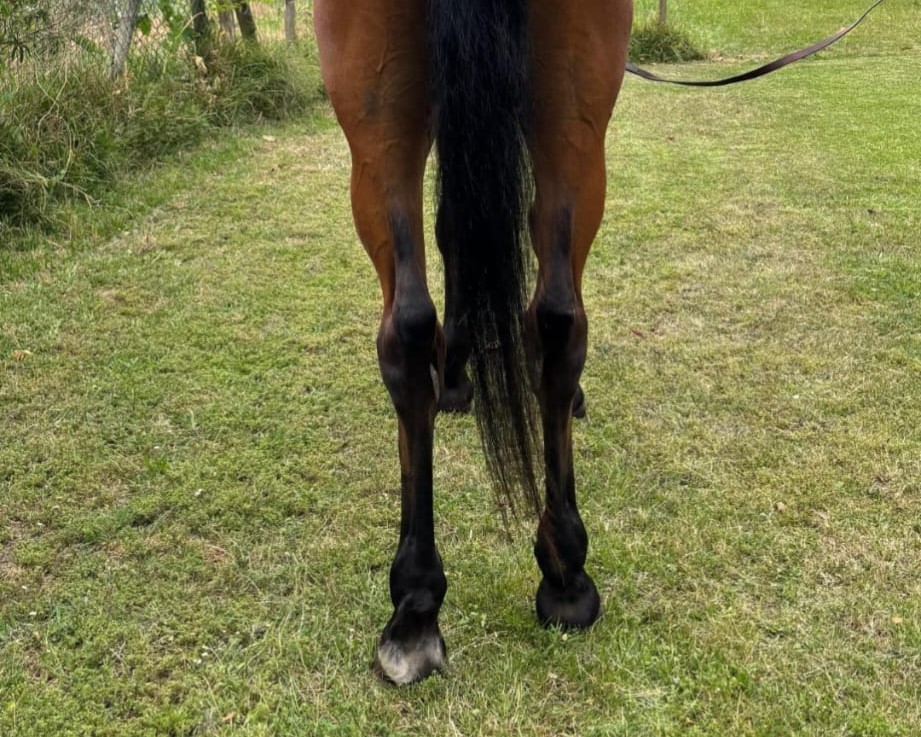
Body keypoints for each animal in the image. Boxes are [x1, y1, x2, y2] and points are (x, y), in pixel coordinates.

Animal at [313, 0, 632, 684]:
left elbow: (453, 233)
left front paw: (457, 378)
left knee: (410, 326)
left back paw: (415, 610)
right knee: (556, 316)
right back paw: (564, 575)